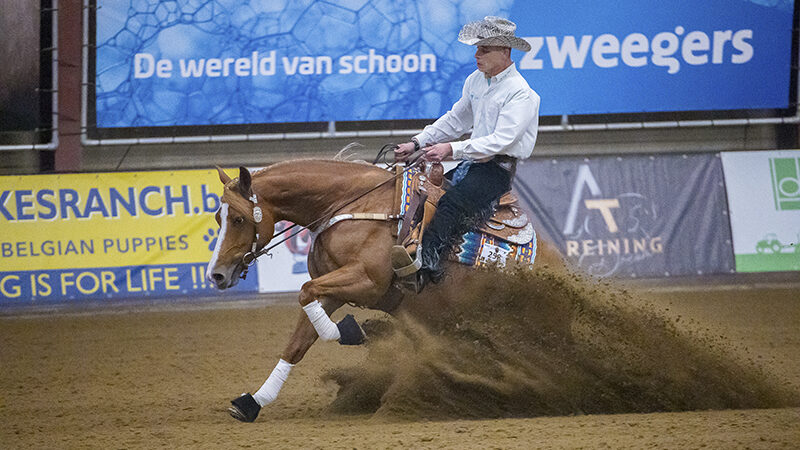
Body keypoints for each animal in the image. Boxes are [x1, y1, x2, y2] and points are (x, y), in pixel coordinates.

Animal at [206, 159, 568, 422]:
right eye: (217, 218)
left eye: (238, 219)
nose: (216, 275)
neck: (351, 206)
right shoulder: (333, 291)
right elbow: (298, 341)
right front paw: (253, 402)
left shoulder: (366, 281)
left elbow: (305, 292)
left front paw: (356, 330)